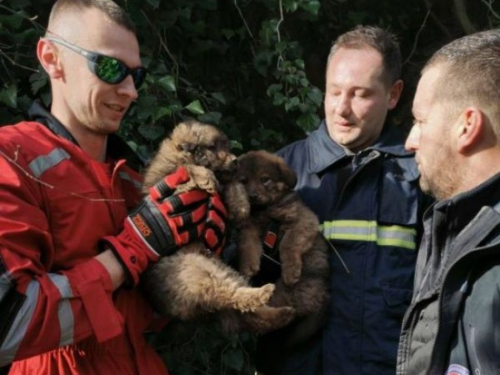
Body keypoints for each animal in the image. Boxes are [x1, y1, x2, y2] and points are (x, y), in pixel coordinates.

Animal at [140, 122, 274, 322]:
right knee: (230, 295)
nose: (236, 161)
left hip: (216, 269)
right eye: (212, 147)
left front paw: (241, 204)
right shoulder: (174, 189)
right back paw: (264, 293)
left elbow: (231, 185)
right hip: (194, 271)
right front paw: (205, 176)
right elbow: (188, 169)